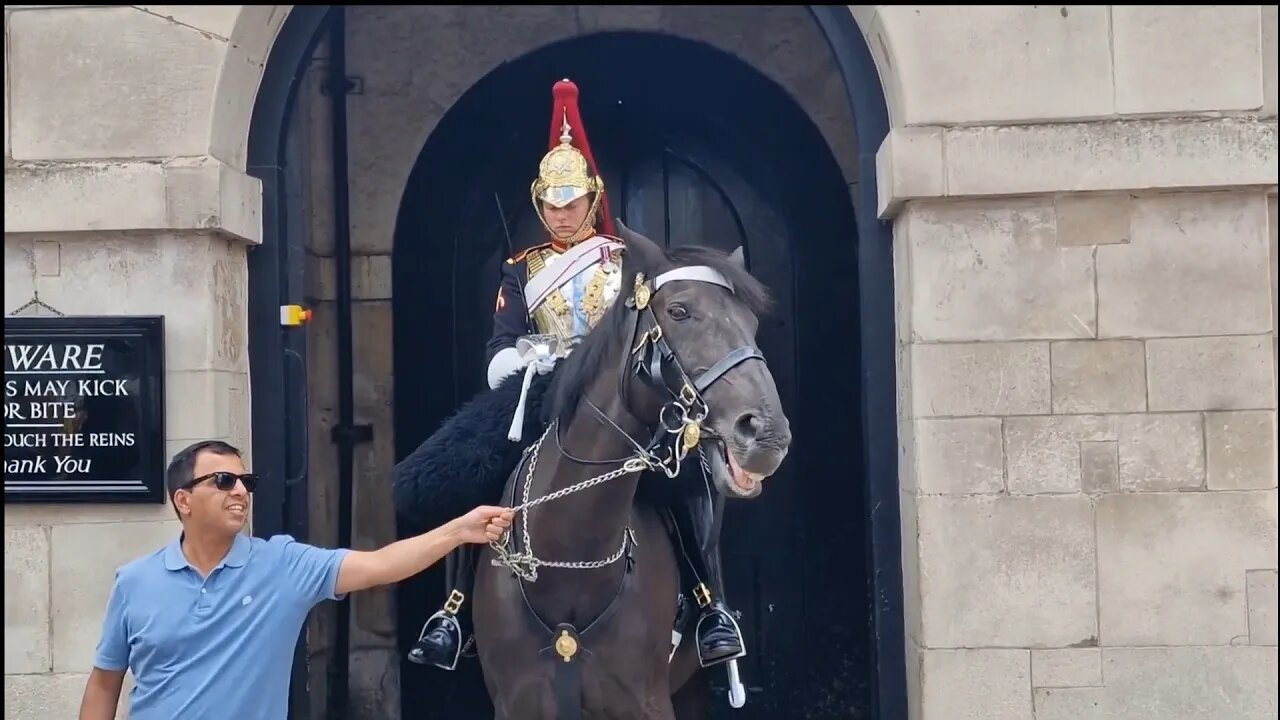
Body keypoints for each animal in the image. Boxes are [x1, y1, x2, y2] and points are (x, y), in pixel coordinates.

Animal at [471, 221, 788, 712]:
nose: (766, 435)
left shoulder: (645, 699)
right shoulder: (517, 702)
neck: (571, 564)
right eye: (678, 311)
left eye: (751, 323)